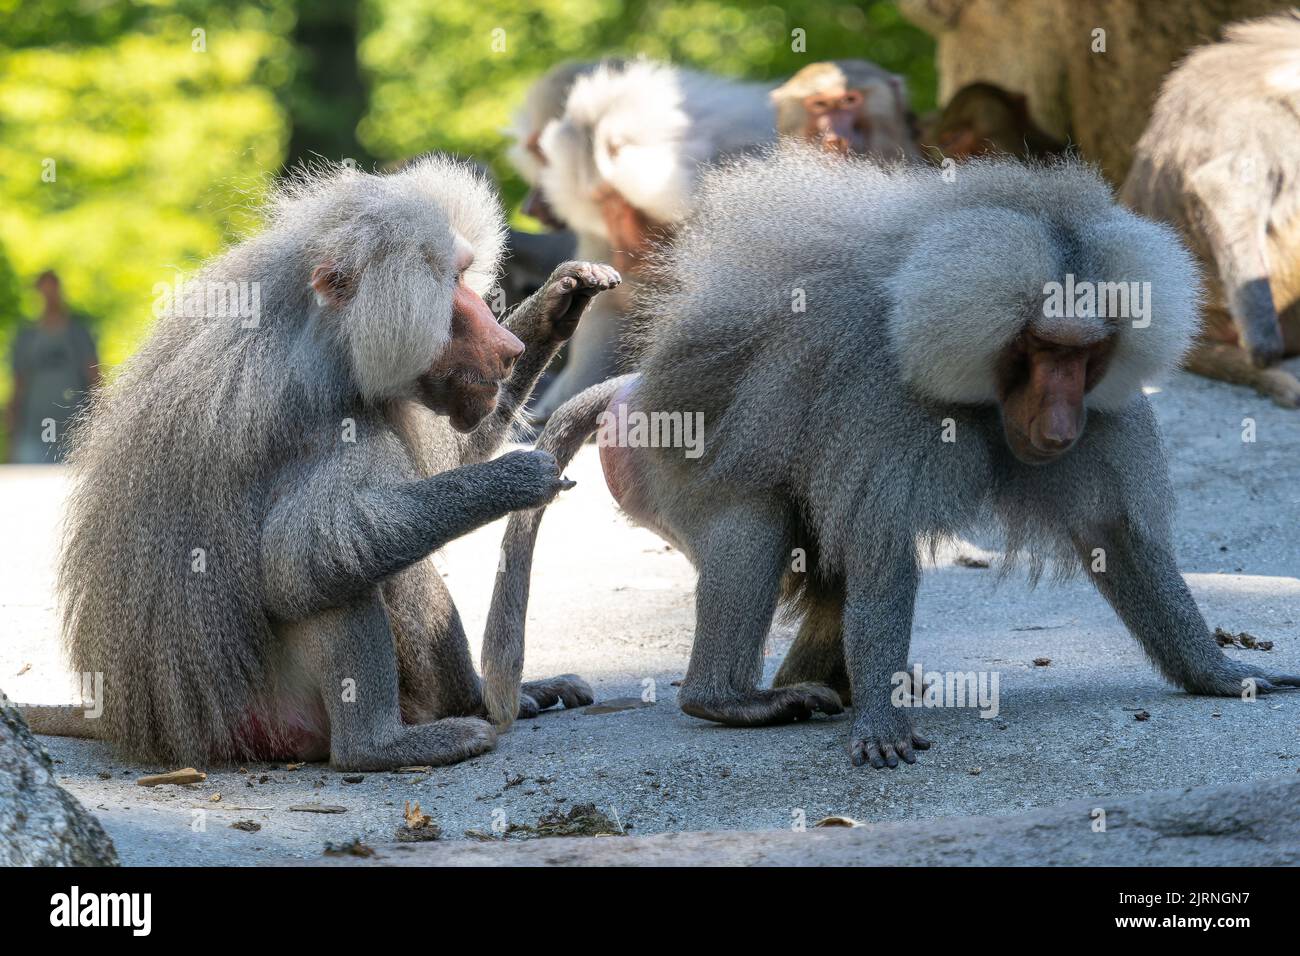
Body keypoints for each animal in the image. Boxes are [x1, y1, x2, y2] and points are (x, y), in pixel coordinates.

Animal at [26, 155, 621, 770]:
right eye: (452, 282)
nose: (507, 347)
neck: (327, 338)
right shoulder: (321, 421)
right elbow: (299, 557)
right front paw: (520, 477)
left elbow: (447, 453)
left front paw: (560, 300)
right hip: (269, 714)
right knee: (333, 571)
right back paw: (385, 745)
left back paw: (499, 698)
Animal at [480, 146, 1300, 770]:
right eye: (1041, 348)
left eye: (1086, 353)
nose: (1062, 424)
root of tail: (632, 386)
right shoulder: (888, 405)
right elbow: (881, 550)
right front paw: (881, 722)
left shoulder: (1108, 415)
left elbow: (1118, 540)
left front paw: (1223, 675)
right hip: (663, 465)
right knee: (755, 524)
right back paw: (732, 700)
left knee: (820, 560)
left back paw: (825, 689)